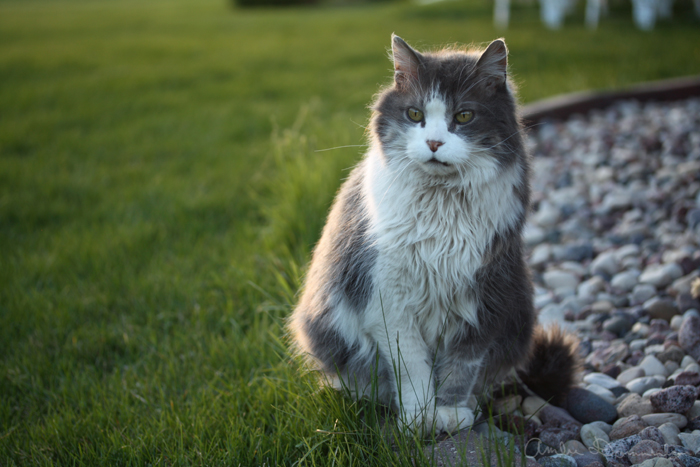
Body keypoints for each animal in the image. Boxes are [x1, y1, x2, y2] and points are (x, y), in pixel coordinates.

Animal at [288, 35, 576, 436]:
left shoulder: (485, 298)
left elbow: (460, 369)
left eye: (464, 116)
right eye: (414, 115)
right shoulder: (389, 303)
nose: (435, 143)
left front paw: (451, 414)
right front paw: (420, 417)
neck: (441, 208)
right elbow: (413, 369)